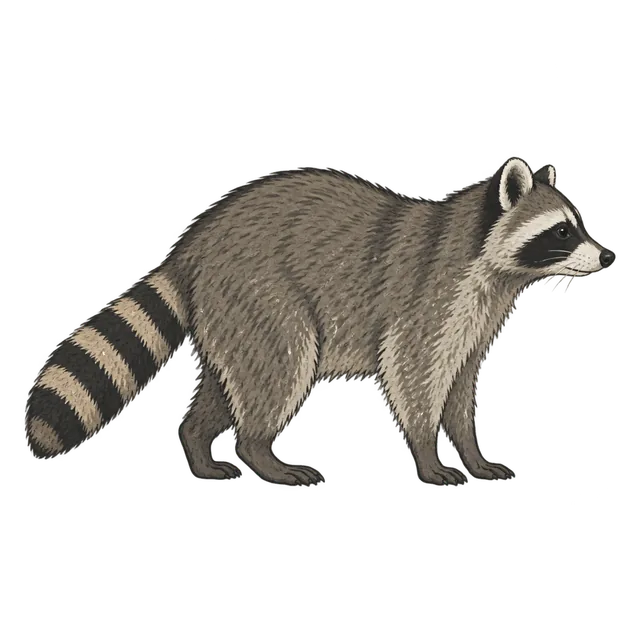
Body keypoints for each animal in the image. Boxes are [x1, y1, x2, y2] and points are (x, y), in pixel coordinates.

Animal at [24, 157, 616, 487]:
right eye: (562, 231)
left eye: (578, 223)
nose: (609, 255)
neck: (490, 266)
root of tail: (194, 242)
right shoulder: (431, 297)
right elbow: (414, 376)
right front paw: (427, 455)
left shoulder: (474, 321)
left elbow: (459, 388)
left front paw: (473, 452)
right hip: (259, 290)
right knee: (279, 366)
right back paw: (259, 453)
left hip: (228, 309)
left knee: (227, 380)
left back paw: (200, 448)